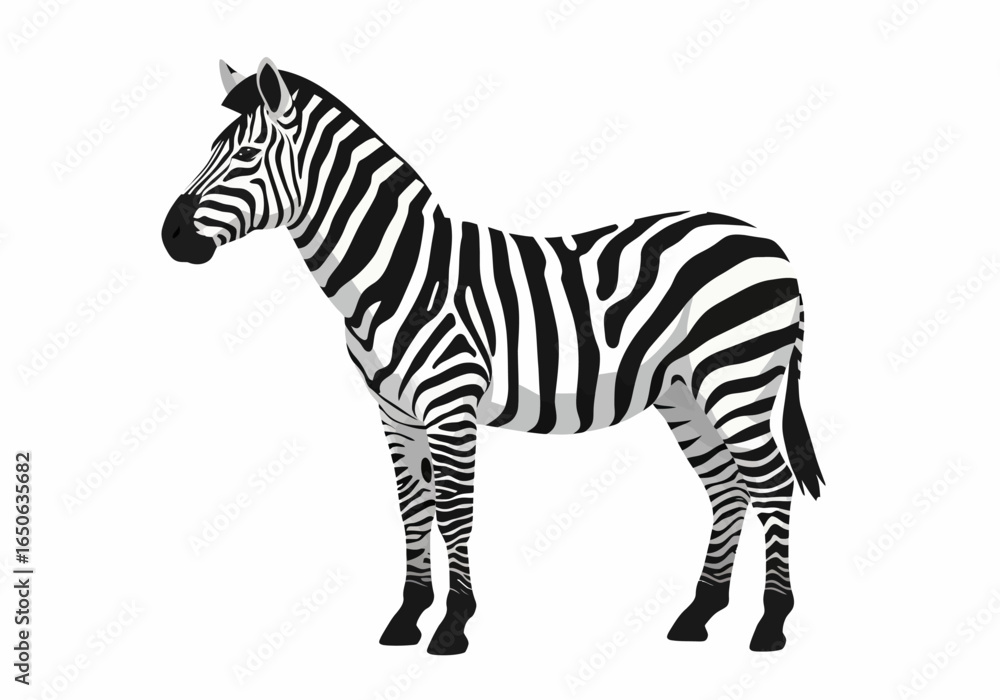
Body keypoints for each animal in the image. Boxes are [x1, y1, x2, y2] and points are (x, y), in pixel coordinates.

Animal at [162, 58, 825, 655]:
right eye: (213, 149)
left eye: (246, 156)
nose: (170, 235)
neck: (396, 276)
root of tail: (770, 243)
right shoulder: (395, 415)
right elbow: (412, 511)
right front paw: (407, 618)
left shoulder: (450, 405)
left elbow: (455, 511)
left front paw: (453, 626)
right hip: (684, 393)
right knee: (728, 488)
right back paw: (698, 615)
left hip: (737, 380)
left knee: (771, 485)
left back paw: (771, 625)